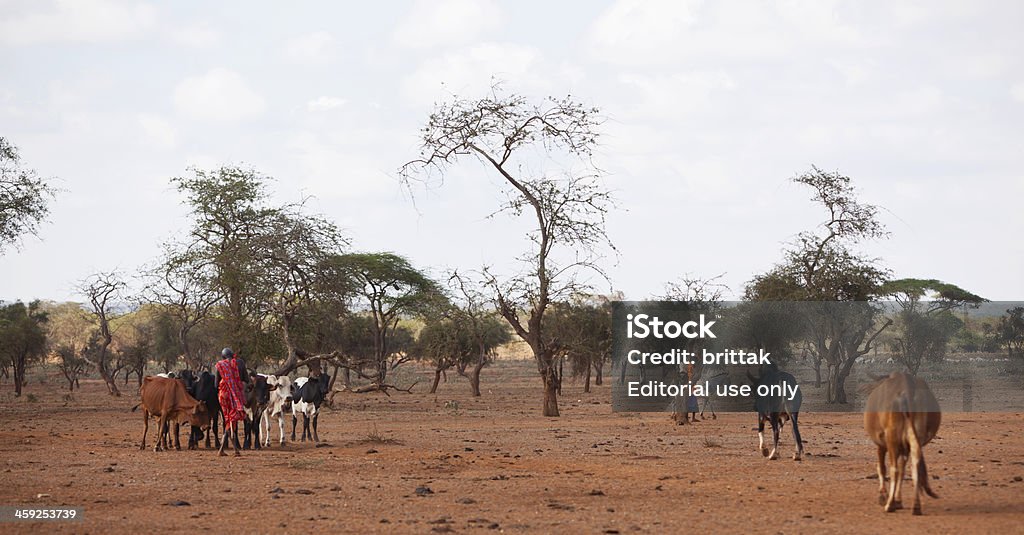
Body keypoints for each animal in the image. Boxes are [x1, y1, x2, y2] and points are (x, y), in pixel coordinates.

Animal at [860, 371, 937, 512]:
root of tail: (907, 388)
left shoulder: (881, 444)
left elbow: (882, 468)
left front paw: (883, 496)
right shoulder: (904, 448)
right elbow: (903, 470)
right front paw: (898, 500)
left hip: (892, 440)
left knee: (893, 469)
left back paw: (889, 504)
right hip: (915, 439)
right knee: (914, 466)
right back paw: (916, 506)